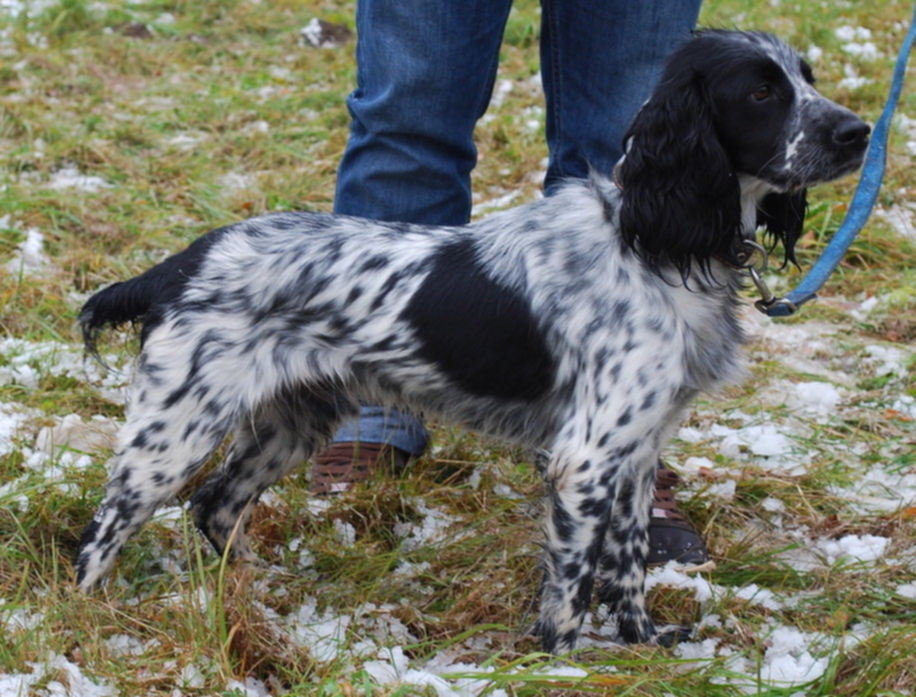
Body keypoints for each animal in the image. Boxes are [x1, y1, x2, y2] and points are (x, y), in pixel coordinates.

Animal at [73, 31, 864, 652]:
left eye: (807, 79)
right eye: (760, 93)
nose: (857, 132)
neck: (656, 242)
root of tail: (183, 261)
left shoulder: (638, 453)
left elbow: (630, 566)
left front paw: (646, 644)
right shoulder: (585, 459)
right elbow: (573, 586)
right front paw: (562, 662)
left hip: (290, 424)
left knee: (215, 507)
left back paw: (246, 596)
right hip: (173, 433)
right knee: (104, 530)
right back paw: (86, 616)